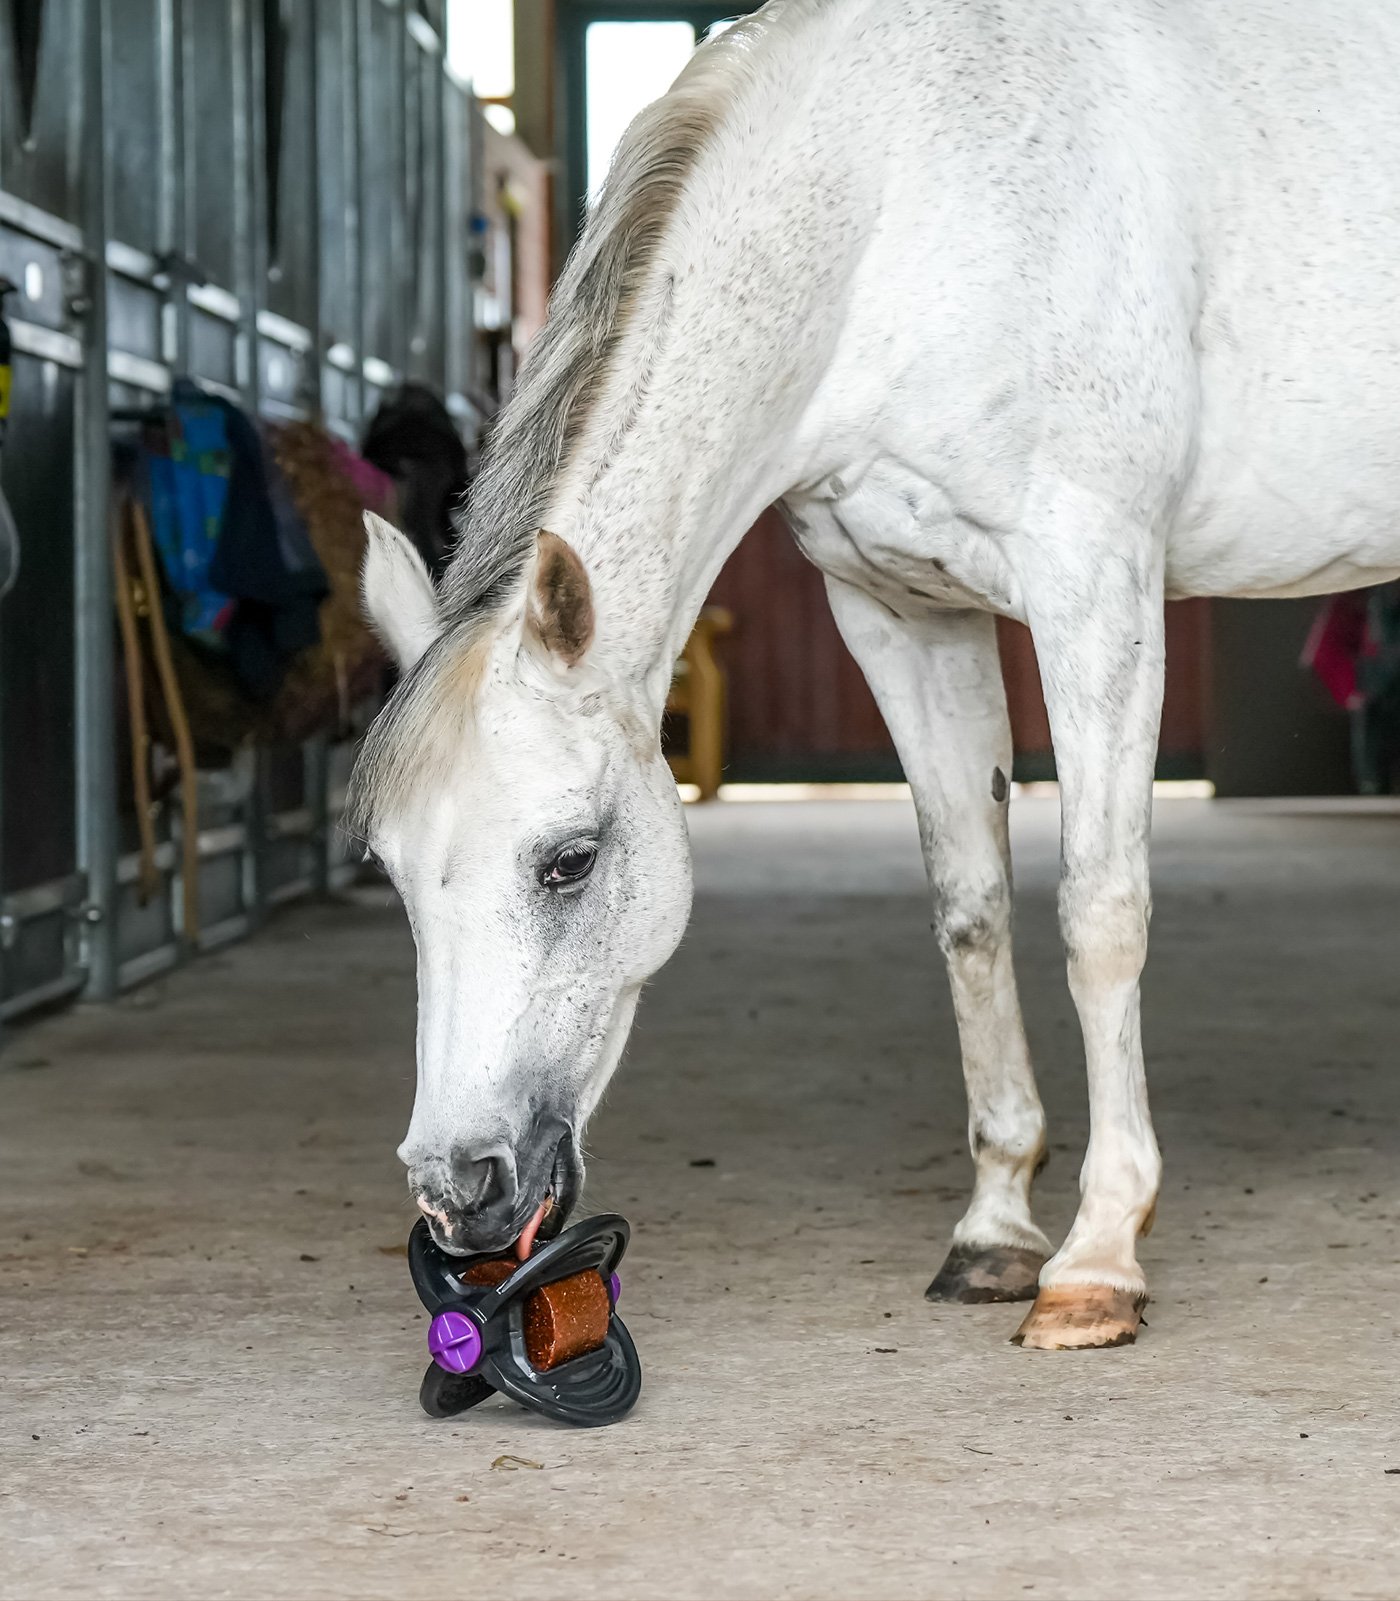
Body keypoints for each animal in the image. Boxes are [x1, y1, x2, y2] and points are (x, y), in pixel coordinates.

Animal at [351, 0, 1400, 1351]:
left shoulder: (1093, 585)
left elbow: (1098, 913)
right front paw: (995, 1230)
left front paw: (1096, 1259)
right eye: (388, 870)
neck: (907, 198)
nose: (459, 1191)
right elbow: (971, 909)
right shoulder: (902, 613)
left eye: (569, 860)